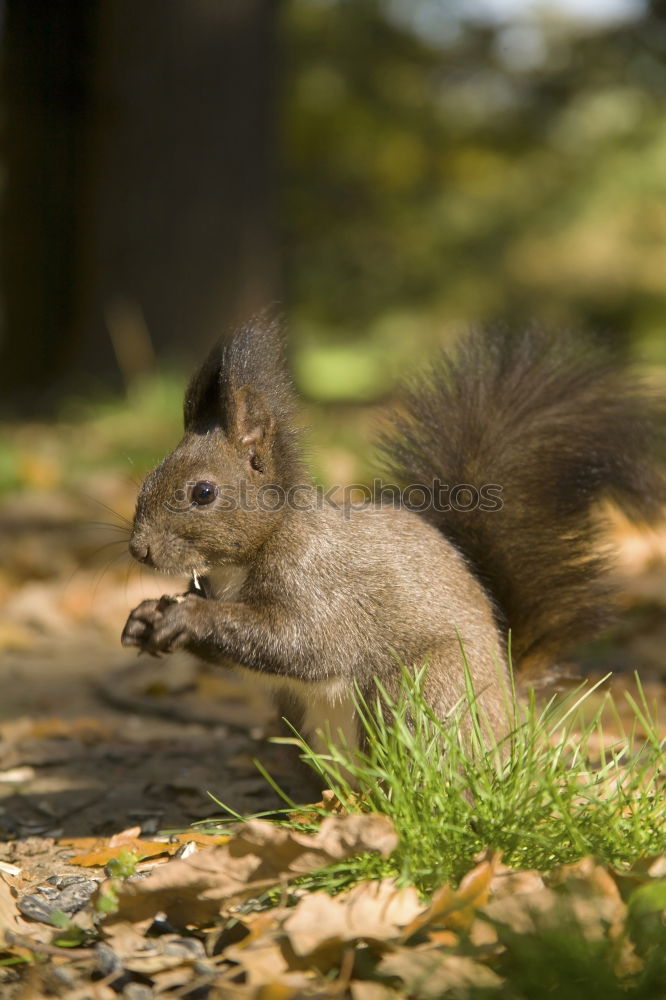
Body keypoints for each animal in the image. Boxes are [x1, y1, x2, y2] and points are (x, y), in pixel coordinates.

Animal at [119, 316, 660, 748]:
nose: (139, 550)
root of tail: (509, 712)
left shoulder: (322, 585)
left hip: (419, 691)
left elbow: (302, 643)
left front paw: (189, 616)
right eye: (147, 479)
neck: (243, 560)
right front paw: (145, 616)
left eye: (203, 492)